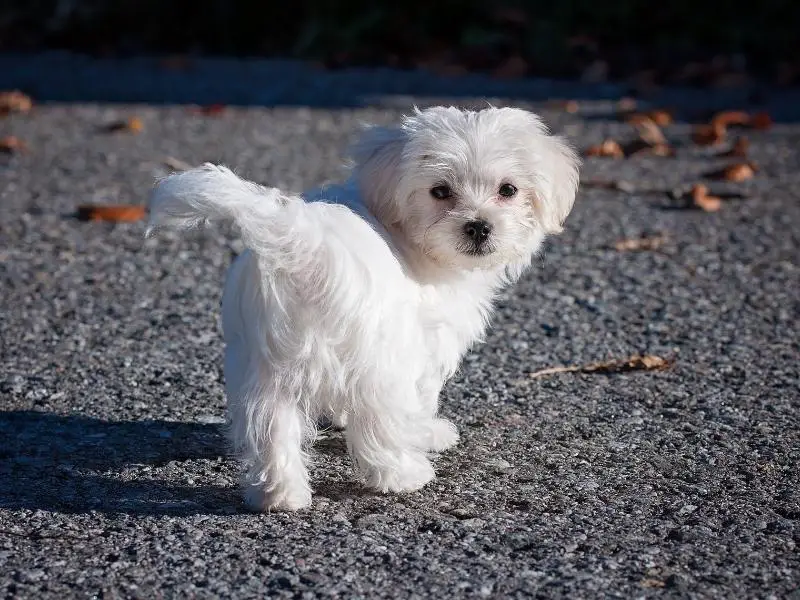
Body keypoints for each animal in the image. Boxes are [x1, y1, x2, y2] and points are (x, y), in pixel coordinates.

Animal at [147, 106, 580, 510]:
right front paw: (429, 433)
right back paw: (404, 475)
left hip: (265, 365)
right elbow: (421, 398)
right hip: (378, 359)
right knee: (379, 424)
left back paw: (279, 495)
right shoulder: (425, 343)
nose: (479, 226)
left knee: (270, 426)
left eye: (508, 189)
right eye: (440, 192)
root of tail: (305, 246)